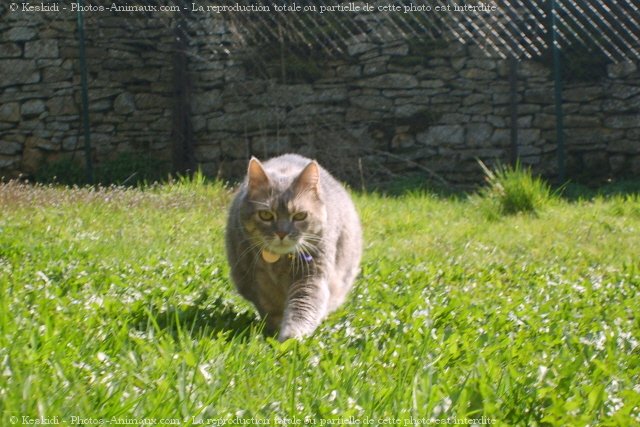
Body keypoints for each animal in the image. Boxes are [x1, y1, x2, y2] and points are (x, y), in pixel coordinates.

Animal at [225, 154, 362, 342]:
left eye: (300, 216)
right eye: (266, 215)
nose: (282, 233)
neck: (279, 263)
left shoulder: (311, 278)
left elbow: (302, 309)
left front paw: (291, 338)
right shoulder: (257, 283)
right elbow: (270, 310)